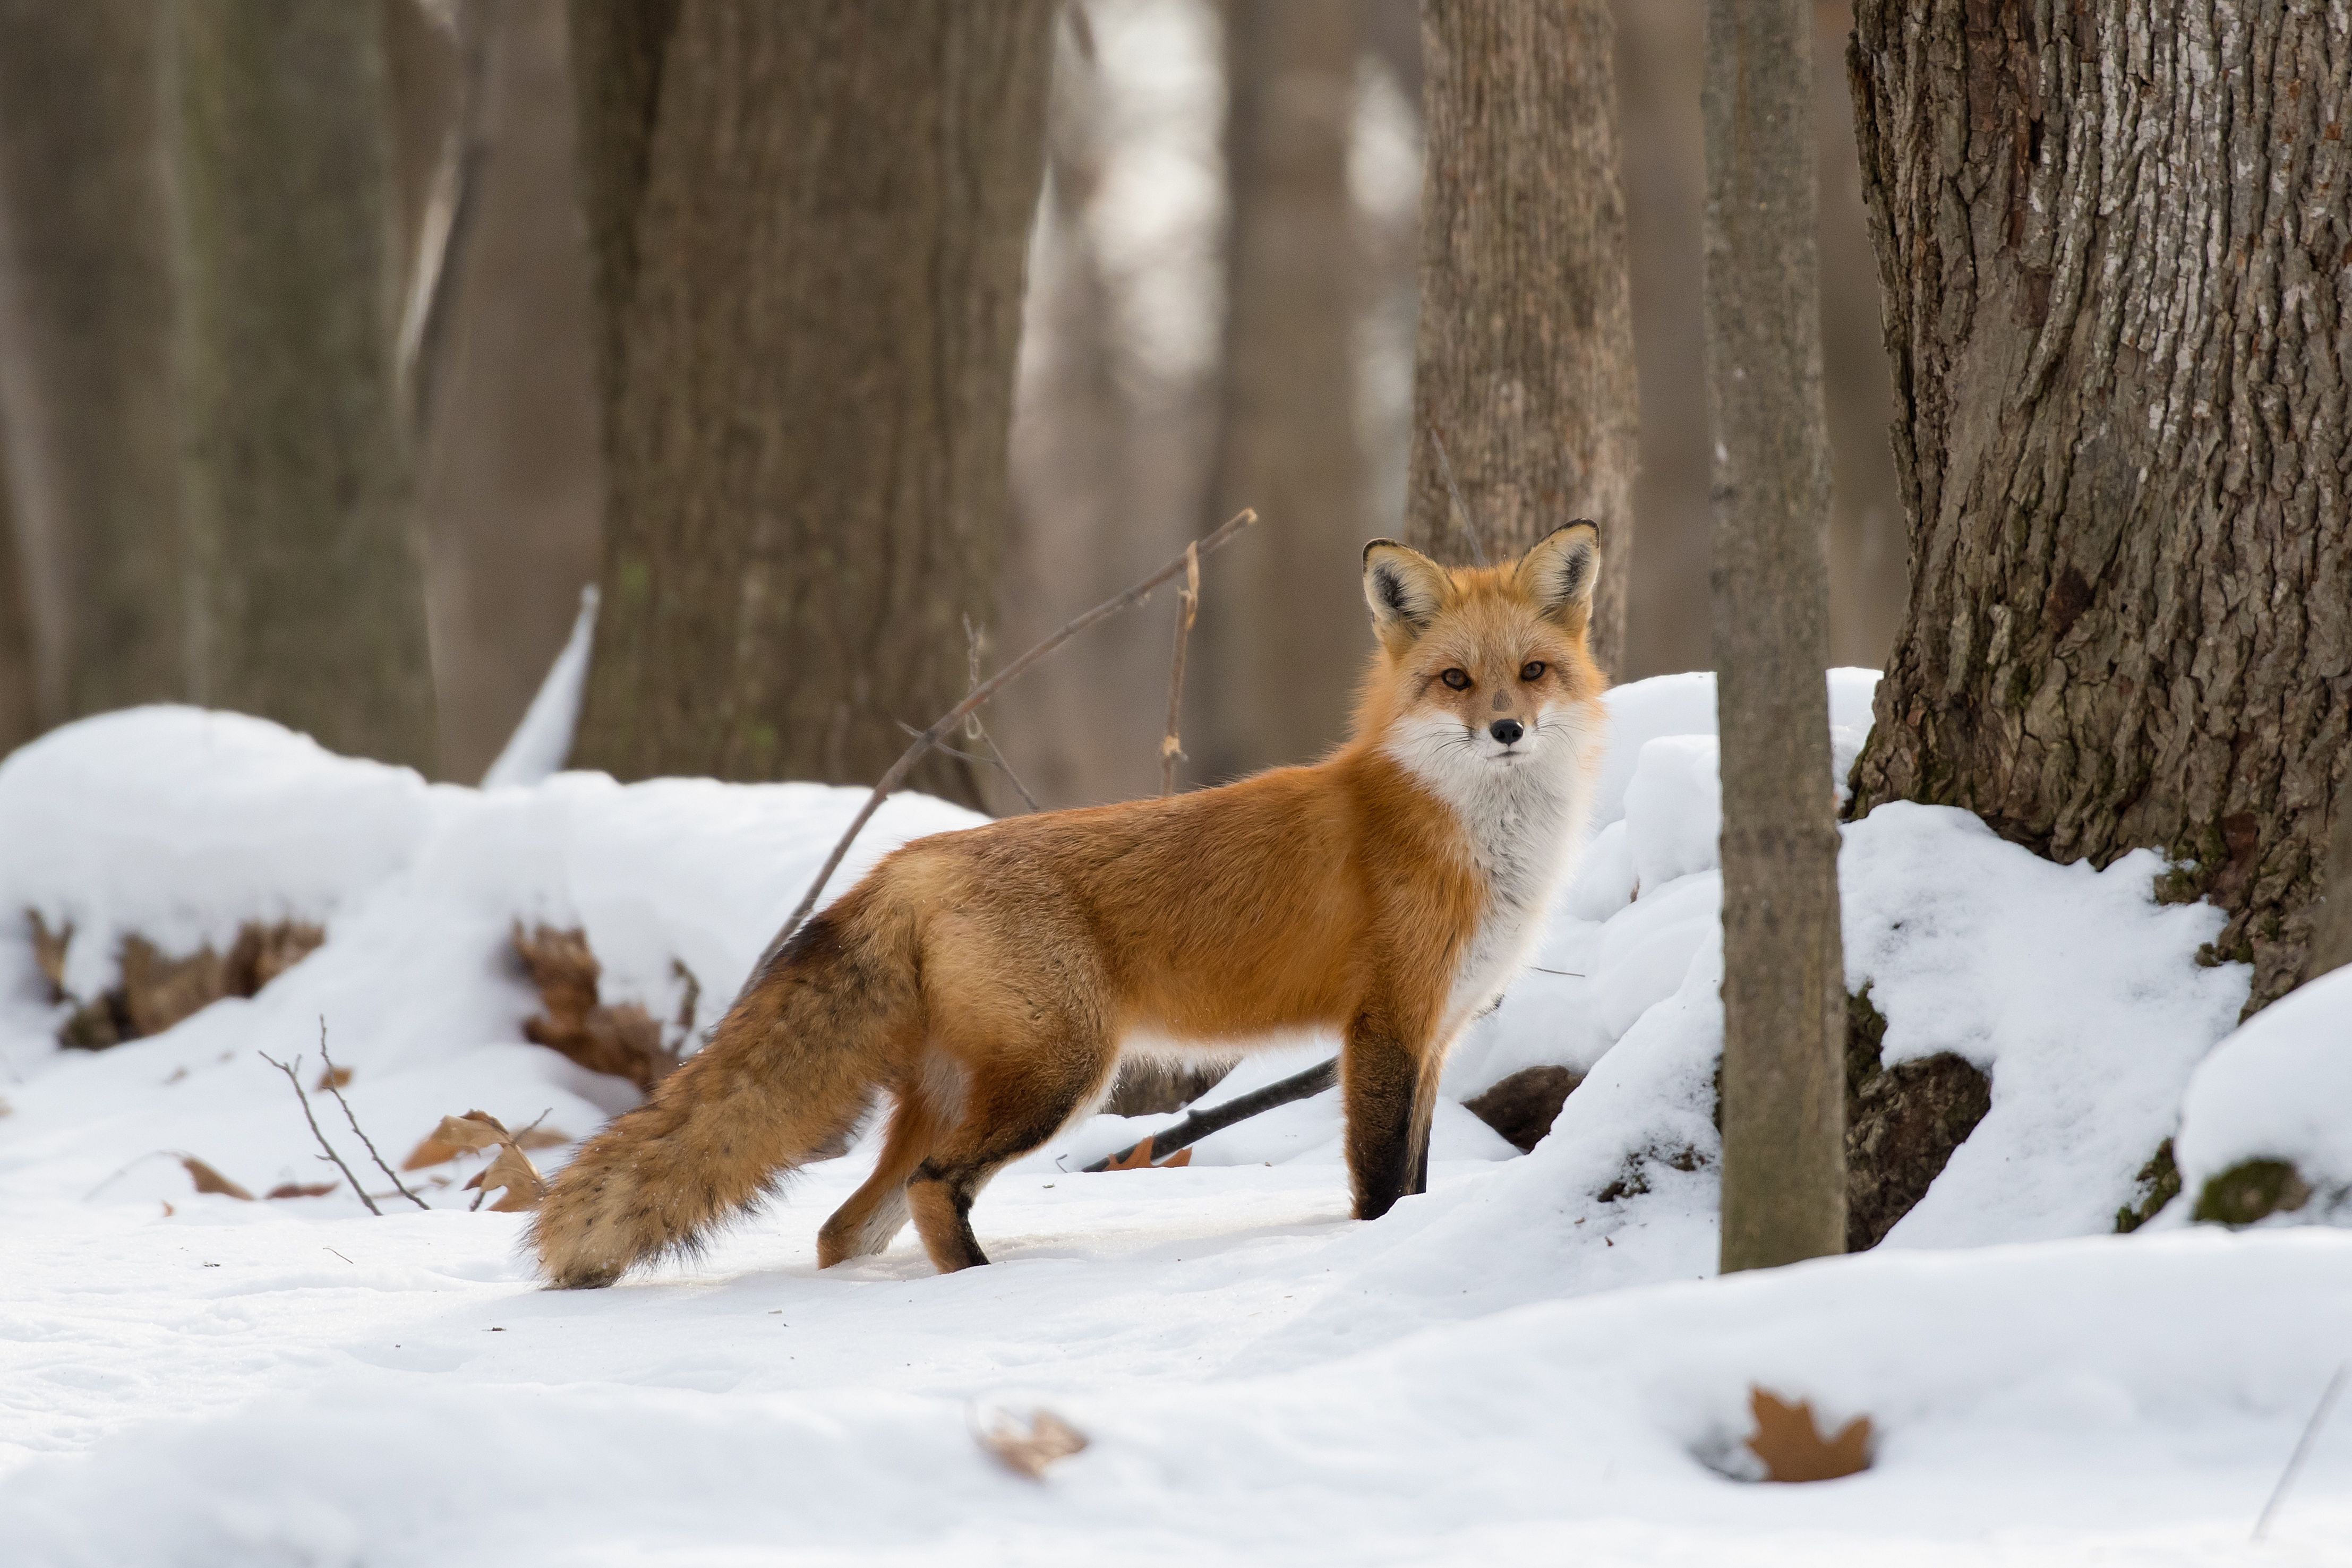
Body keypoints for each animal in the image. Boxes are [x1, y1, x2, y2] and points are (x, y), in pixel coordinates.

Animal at [529, 526, 1599, 1288]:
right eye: (1455, 679)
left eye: (1531, 672)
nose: (1506, 728)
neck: (1469, 834)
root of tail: (911, 859)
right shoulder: (1383, 1025)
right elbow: (1380, 1182)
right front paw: (1375, 1250)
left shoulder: (1436, 1031)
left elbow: (1416, 1173)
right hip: (1063, 1075)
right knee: (930, 1188)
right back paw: (985, 1290)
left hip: (965, 1090)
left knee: (847, 1224)